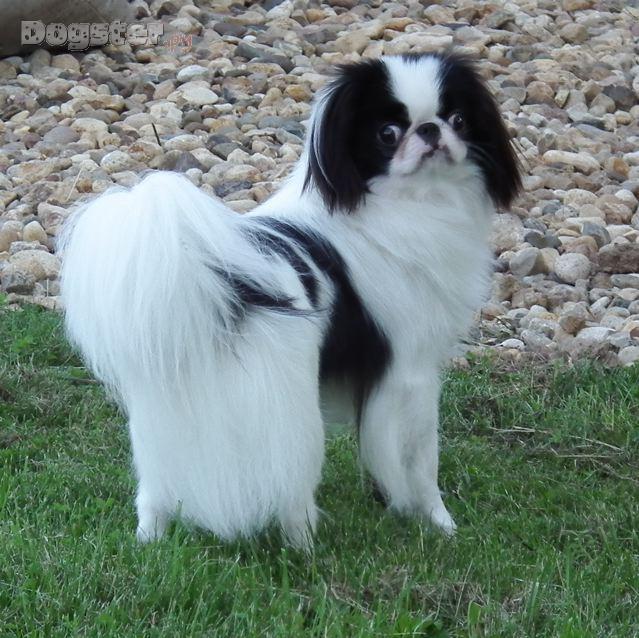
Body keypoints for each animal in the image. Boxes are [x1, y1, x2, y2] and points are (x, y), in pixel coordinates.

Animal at [60, 52, 521, 548]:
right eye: (387, 134)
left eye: (458, 120)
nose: (432, 130)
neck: (407, 202)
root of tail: (218, 285)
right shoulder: (410, 373)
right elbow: (419, 463)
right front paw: (439, 522)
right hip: (291, 413)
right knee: (291, 493)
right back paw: (306, 547)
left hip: (162, 418)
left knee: (154, 491)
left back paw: (150, 541)